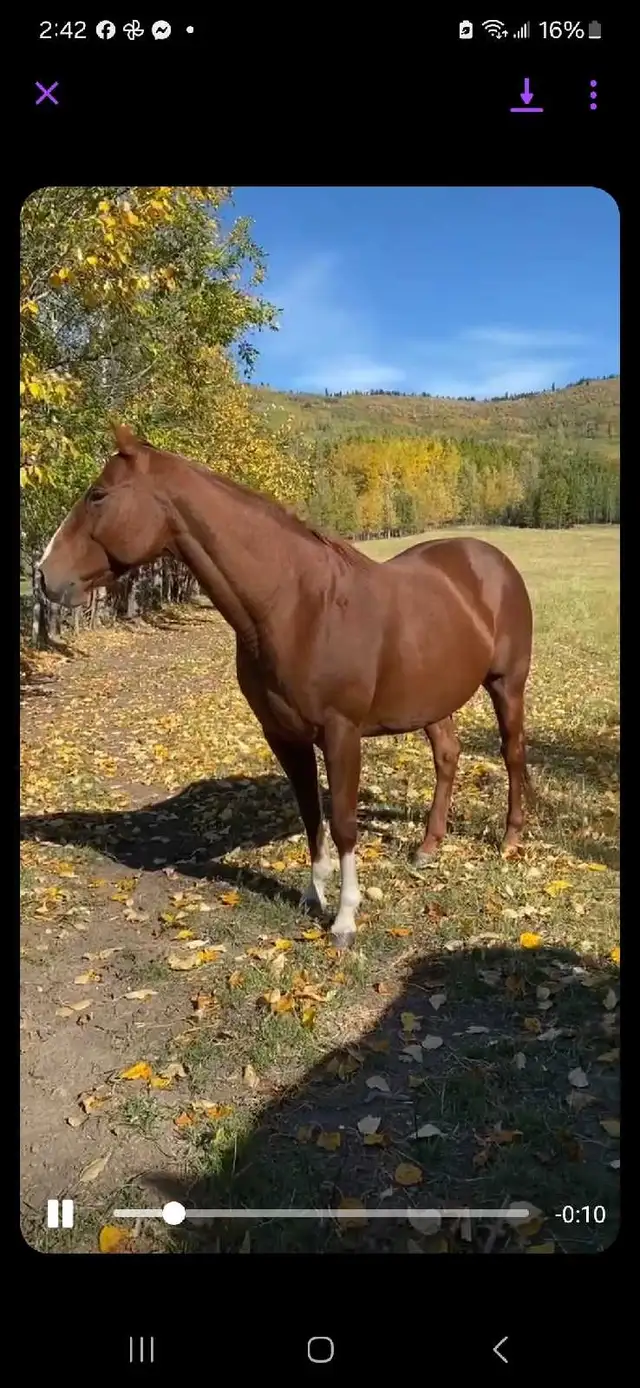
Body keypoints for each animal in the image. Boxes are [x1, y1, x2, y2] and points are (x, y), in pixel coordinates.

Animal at [38, 424, 534, 949]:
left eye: (98, 495)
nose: (45, 574)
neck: (295, 605)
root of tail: (491, 560)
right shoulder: (283, 735)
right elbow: (311, 813)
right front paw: (313, 896)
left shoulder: (342, 734)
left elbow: (343, 823)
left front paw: (345, 919)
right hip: (432, 699)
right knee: (447, 756)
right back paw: (427, 848)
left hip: (507, 685)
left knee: (512, 753)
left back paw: (509, 841)